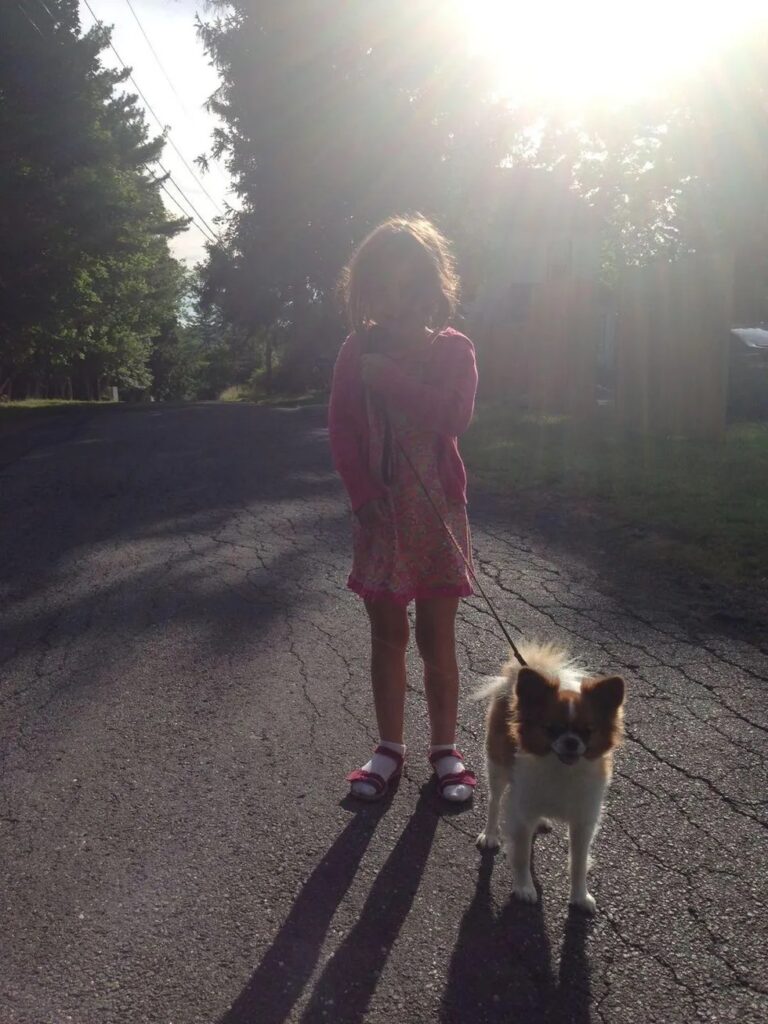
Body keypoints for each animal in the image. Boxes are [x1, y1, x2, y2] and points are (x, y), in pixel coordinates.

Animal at [479, 643, 626, 917]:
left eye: (587, 731)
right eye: (552, 728)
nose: (571, 742)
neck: (561, 770)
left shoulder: (583, 823)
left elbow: (578, 863)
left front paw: (580, 896)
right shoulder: (522, 815)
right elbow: (521, 855)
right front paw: (524, 888)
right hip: (497, 767)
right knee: (494, 801)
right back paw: (490, 835)